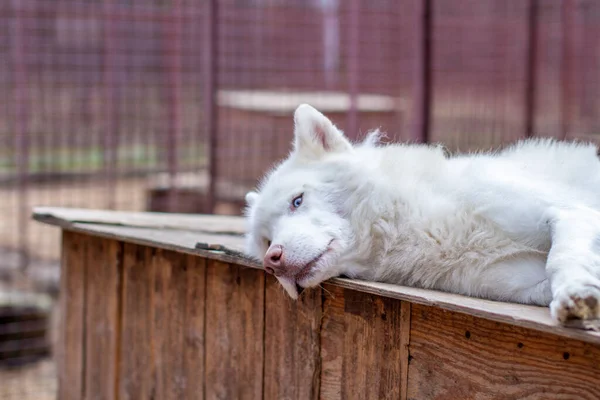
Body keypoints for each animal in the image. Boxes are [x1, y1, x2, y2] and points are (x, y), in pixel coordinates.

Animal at [244, 103, 600, 322]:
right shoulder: (521, 284)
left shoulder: (571, 212)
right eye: (266, 241)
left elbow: (561, 258)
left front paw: (576, 294)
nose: (272, 262)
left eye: (297, 201)